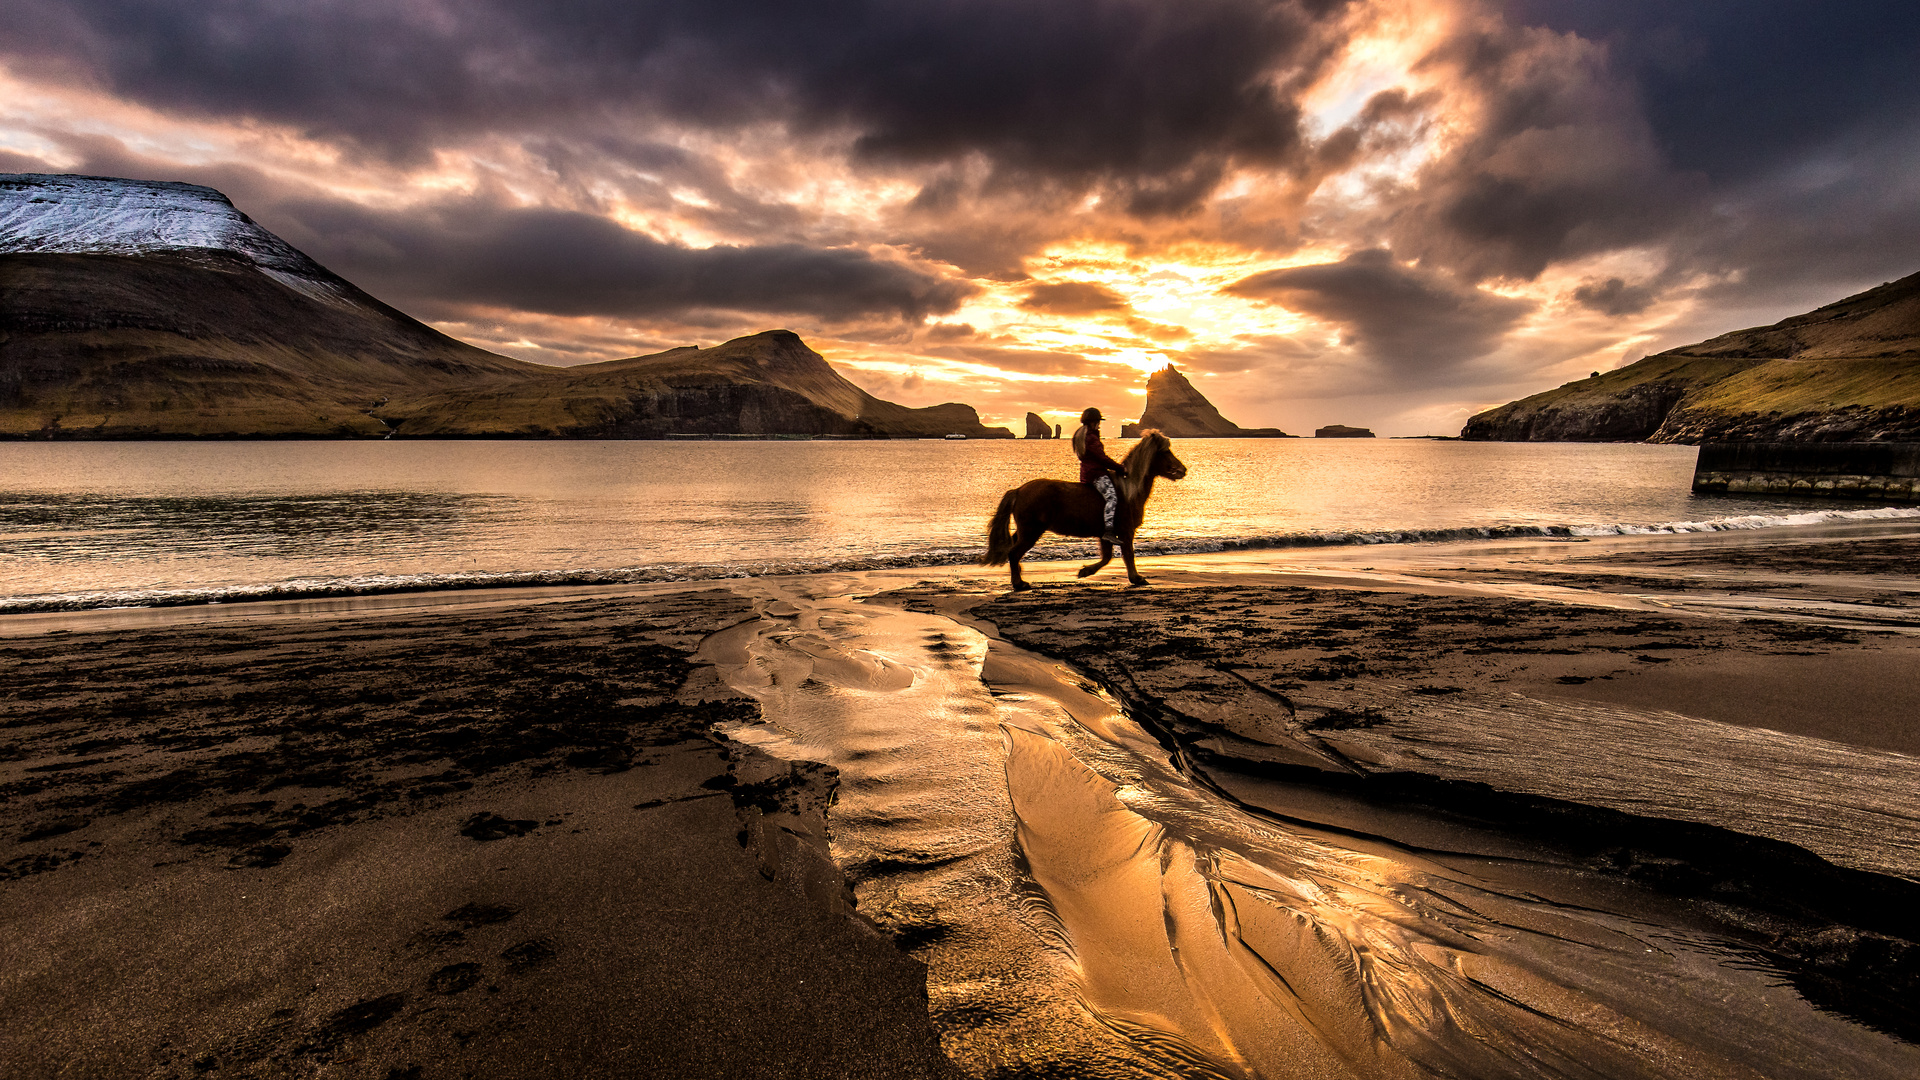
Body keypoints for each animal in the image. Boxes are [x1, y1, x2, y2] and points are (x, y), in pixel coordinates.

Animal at [990, 426, 1182, 588]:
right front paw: (1136, 578)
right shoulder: (1126, 532)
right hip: (1031, 532)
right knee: (1014, 553)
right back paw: (1019, 584)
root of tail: (1019, 490)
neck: (1128, 490)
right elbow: (1128, 555)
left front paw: (1085, 571)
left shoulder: (1106, 534)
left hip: (1025, 531)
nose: (1183, 470)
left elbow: (1107, 557)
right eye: (1164, 452)